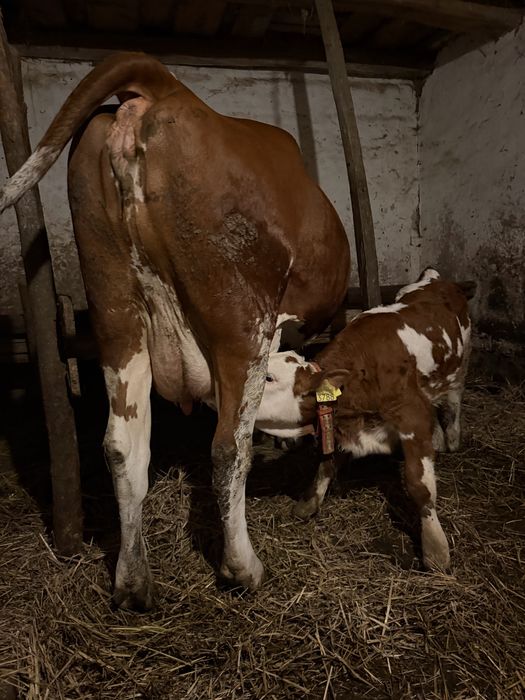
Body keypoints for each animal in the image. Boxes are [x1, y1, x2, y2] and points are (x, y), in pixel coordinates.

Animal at [0, 52, 350, 609]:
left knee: (122, 445)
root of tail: (167, 88)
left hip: (115, 310)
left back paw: (132, 581)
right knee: (227, 447)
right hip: (240, 319)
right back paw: (243, 568)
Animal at [255, 269, 472, 570]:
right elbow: (325, 464)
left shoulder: (411, 416)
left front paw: (435, 548)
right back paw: (439, 439)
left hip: (460, 369)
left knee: (453, 402)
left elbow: (420, 485)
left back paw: (451, 438)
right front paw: (309, 503)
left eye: (269, 377)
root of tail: (436, 279)